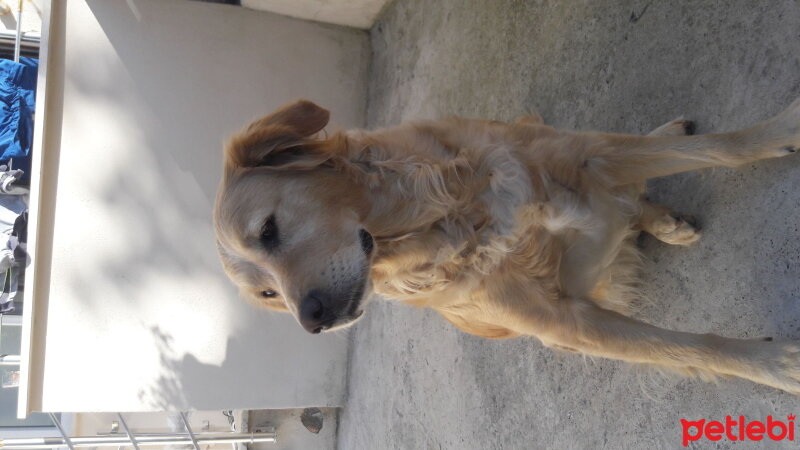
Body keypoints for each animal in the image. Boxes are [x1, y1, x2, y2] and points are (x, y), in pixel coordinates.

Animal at [212, 97, 800, 390]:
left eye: (267, 230)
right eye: (266, 297)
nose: (311, 322)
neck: (452, 218)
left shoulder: (591, 157)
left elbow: (723, 148)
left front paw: (778, 131)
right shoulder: (563, 324)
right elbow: (681, 347)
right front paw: (773, 365)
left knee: (636, 190)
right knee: (632, 208)